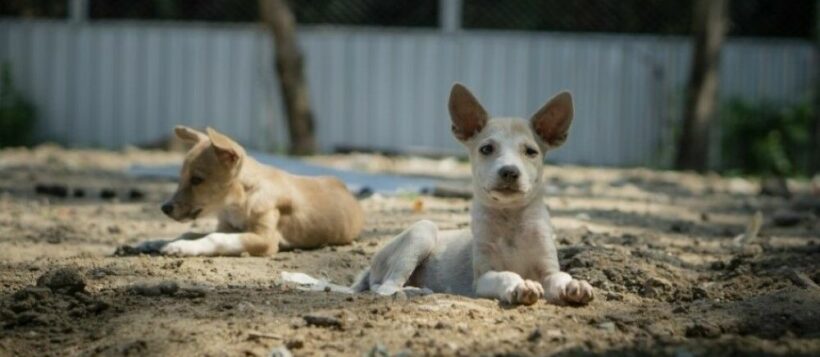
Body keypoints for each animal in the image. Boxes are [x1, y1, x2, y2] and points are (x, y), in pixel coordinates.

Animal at [149, 126, 364, 254]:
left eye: (197, 180)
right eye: (181, 177)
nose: (164, 208)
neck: (238, 202)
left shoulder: (265, 239)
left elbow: (214, 238)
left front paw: (180, 247)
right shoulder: (227, 227)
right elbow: (190, 233)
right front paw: (156, 242)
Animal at [350, 82, 588, 304]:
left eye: (531, 152)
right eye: (486, 149)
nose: (509, 171)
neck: (511, 219)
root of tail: (371, 267)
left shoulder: (548, 270)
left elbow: (560, 276)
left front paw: (574, 284)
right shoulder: (484, 277)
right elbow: (506, 274)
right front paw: (520, 286)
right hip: (422, 232)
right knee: (384, 287)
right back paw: (410, 292)